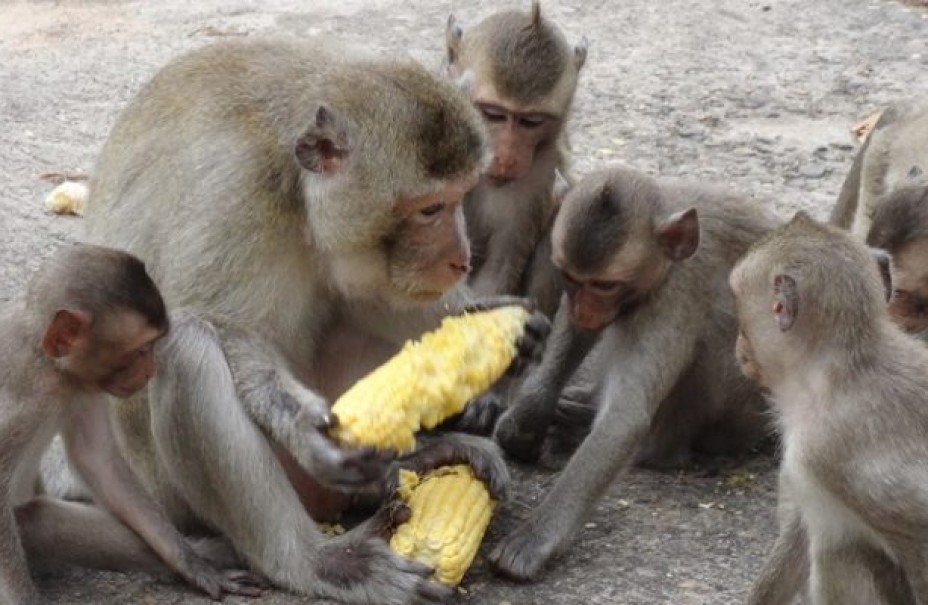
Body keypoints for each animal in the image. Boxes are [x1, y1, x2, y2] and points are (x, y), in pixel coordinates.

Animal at [0, 243, 263, 604]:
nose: (151, 370)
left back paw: (210, 553)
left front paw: (193, 563)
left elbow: (98, 460)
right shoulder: (22, 401)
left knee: (42, 520)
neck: (49, 365)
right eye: (140, 350)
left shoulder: (83, 385)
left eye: (152, 346)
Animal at [70, 37, 539, 604]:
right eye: (430, 209)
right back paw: (316, 562)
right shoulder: (234, 194)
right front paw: (305, 429)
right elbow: (209, 320)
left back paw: (411, 460)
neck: (296, 191)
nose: (460, 260)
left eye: (461, 196)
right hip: (166, 492)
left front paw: (496, 325)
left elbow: (372, 296)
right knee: (186, 349)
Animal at [488, 164, 777, 581]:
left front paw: (536, 537)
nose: (587, 308)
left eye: (606, 284)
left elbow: (624, 419)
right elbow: (577, 333)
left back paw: (655, 448)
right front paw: (527, 418)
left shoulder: (674, 297)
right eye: (571, 278)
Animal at [731, 212, 928, 605]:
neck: (834, 373)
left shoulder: (827, 449)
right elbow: (801, 529)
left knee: (839, 552)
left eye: (739, 306)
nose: (737, 344)